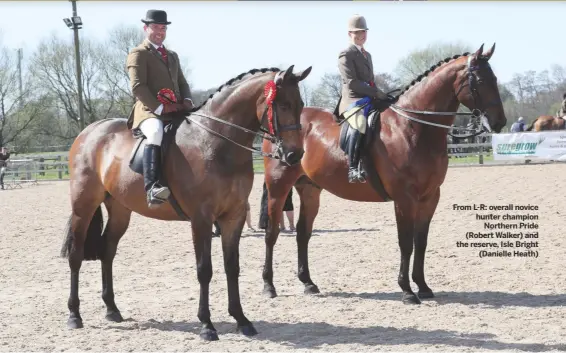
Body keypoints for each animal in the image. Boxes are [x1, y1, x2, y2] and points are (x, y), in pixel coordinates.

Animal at [61, 64, 316, 340]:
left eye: (300, 104)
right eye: (283, 105)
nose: (295, 155)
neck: (216, 142)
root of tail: (89, 131)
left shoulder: (233, 216)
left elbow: (232, 266)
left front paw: (241, 319)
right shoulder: (201, 219)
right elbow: (204, 270)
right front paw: (206, 325)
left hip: (120, 209)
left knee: (108, 250)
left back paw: (112, 309)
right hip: (83, 205)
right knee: (75, 255)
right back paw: (74, 315)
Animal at [260, 43, 506, 302]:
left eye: (494, 79)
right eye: (481, 80)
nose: (499, 122)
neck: (413, 127)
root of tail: (275, 128)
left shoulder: (430, 197)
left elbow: (421, 241)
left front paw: (423, 286)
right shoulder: (404, 198)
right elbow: (406, 242)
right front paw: (407, 290)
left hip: (310, 190)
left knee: (303, 233)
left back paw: (308, 283)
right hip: (278, 188)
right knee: (272, 234)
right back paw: (269, 286)